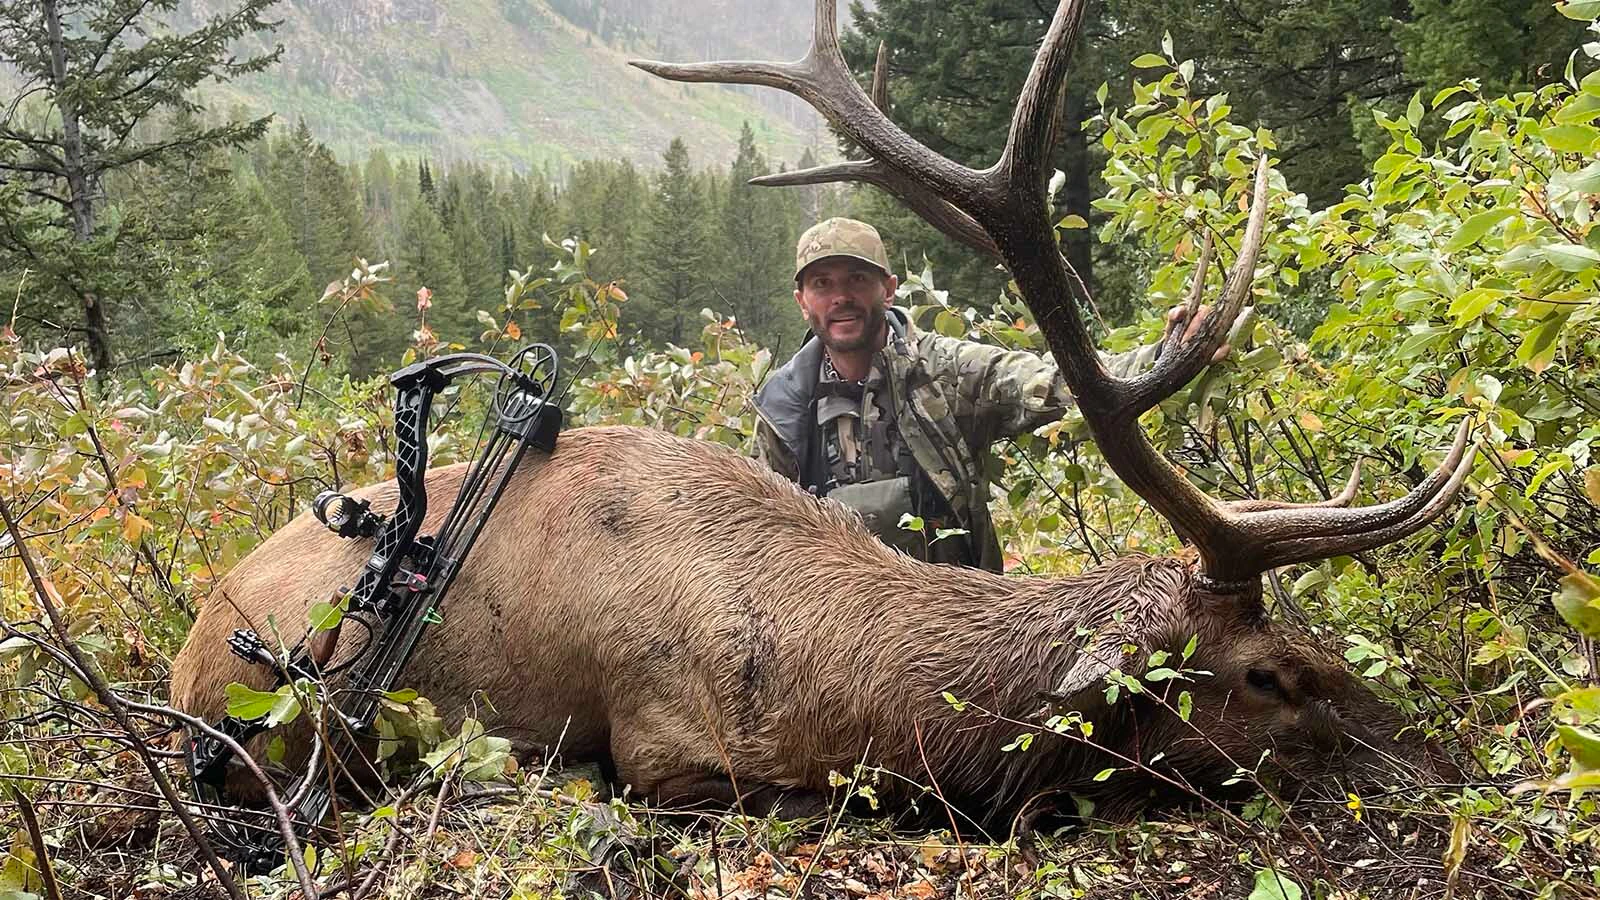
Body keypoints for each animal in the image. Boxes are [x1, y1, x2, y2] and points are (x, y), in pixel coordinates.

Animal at [169, 0, 1474, 831]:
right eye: (1265, 676)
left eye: (1314, 640)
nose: (1433, 758)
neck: (817, 669)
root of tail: (188, 657)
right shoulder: (667, 746)